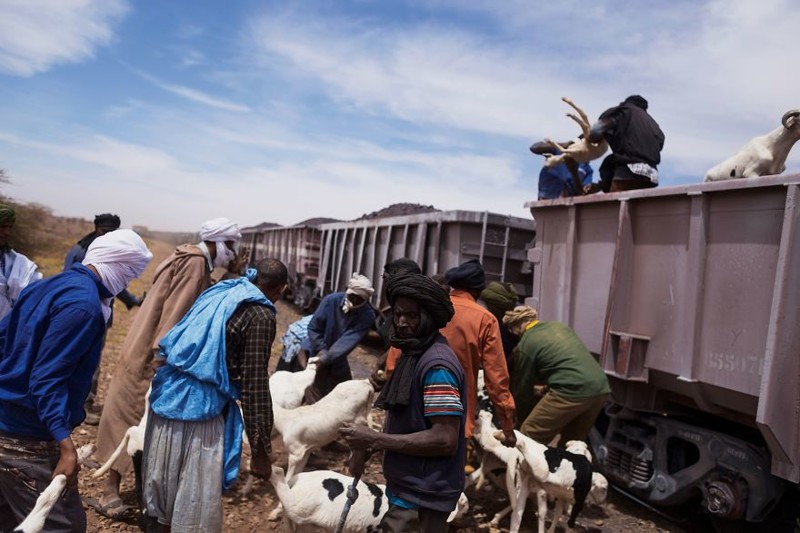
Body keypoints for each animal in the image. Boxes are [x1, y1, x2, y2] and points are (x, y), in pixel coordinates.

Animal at [268, 464, 468, 528]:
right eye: (464, 504)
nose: (467, 509)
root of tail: (297, 481)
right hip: (300, 507)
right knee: (281, 479)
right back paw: (271, 469)